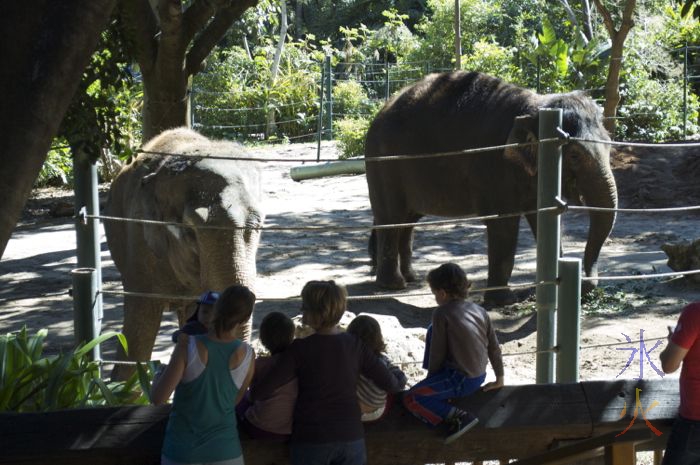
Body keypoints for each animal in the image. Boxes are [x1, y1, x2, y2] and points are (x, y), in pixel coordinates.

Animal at [366, 71, 616, 304]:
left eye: (611, 146)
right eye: (574, 155)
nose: (586, 282)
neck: (536, 107)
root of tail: (382, 109)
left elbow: (544, 218)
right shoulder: (494, 166)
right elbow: (503, 225)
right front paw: (503, 301)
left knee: (407, 220)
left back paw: (411, 278)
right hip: (383, 165)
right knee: (392, 218)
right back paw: (393, 285)